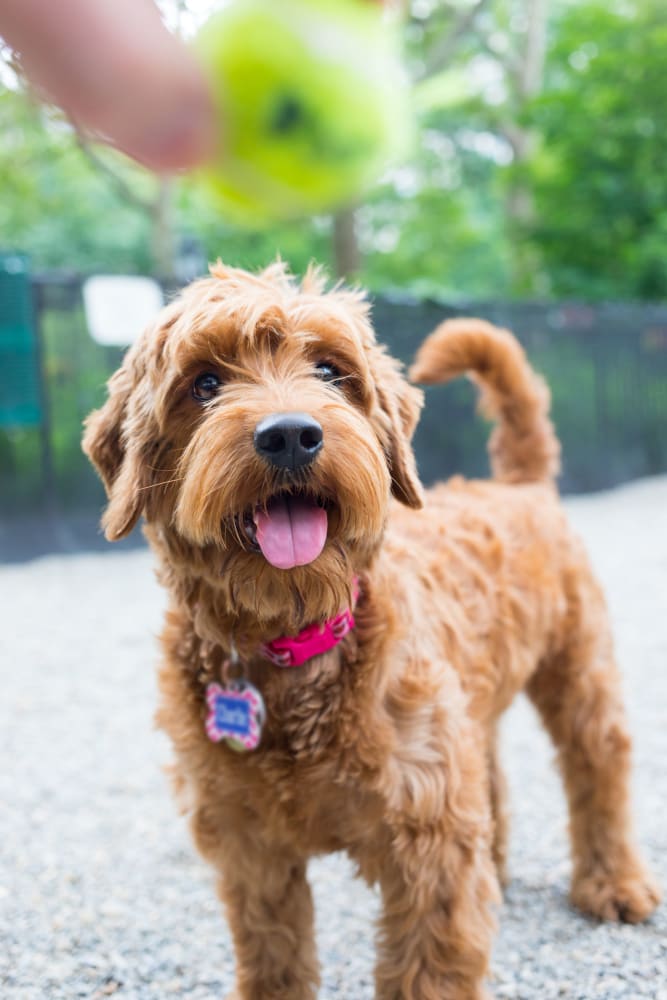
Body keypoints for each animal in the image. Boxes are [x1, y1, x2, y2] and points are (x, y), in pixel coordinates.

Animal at [82, 264, 656, 1000]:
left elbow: (428, 971)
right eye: (204, 382)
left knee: (598, 766)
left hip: (579, 670)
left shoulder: (428, 842)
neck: (293, 644)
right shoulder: (250, 851)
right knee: (493, 776)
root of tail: (519, 484)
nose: (290, 434)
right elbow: (274, 960)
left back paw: (613, 883)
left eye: (331, 371)